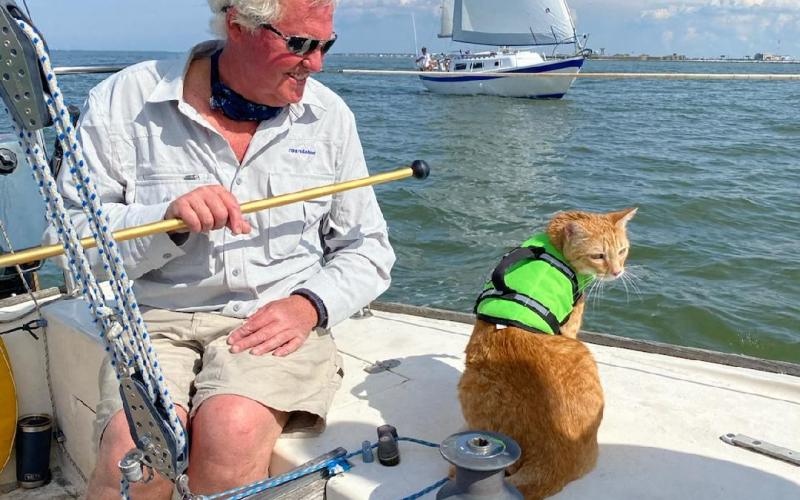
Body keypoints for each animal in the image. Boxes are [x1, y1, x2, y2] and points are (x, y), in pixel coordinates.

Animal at [458, 207, 637, 500]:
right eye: (598, 256)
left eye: (622, 251)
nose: (617, 271)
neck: (555, 245)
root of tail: (554, 459)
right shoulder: (571, 325)